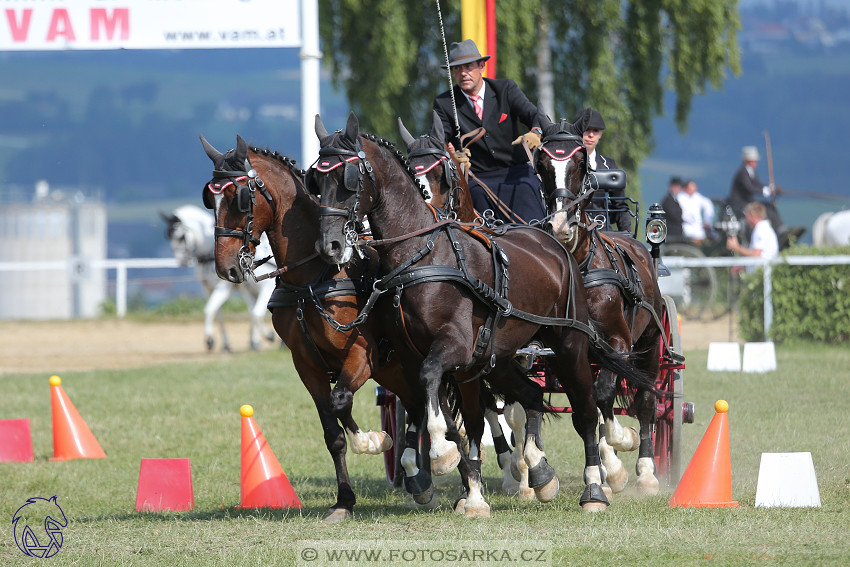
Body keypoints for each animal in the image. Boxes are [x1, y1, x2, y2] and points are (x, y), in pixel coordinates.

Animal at [198, 134, 430, 524]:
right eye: (209, 198)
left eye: (238, 197)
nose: (224, 267)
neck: (313, 278)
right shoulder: (306, 365)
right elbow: (332, 433)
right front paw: (344, 501)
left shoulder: (362, 356)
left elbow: (341, 401)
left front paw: (372, 440)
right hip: (395, 372)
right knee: (418, 406)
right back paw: (421, 476)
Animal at [310, 112, 656, 516]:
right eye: (316, 179)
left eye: (348, 179)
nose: (330, 245)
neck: (422, 253)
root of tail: (556, 245)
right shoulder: (424, 358)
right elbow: (442, 409)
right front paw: (464, 484)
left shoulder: (455, 348)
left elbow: (437, 386)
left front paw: (443, 454)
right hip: (503, 357)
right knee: (530, 396)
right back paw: (539, 473)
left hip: (572, 345)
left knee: (590, 410)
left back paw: (598, 486)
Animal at [536, 108, 668, 494]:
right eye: (541, 163)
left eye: (580, 162)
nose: (560, 225)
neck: (579, 270)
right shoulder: (564, 354)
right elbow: (585, 409)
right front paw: (601, 471)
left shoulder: (619, 343)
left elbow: (606, 394)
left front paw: (621, 446)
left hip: (650, 344)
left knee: (646, 400)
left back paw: (646, 470)